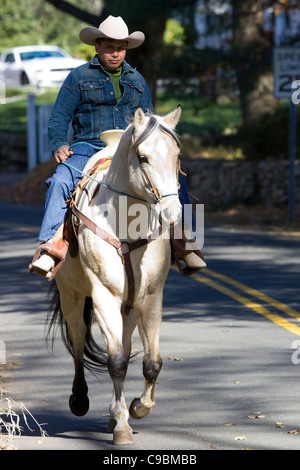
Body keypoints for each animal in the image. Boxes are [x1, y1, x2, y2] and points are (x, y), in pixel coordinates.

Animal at [48, 105, 183, 444]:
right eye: (143, 158)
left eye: (177, 156)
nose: (173, 214)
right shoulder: (103, 297)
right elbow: (117, 362)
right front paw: (122, 427)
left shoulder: (150, 297)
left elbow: (151, 362)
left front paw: (136, 408)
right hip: (72, 297)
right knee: (79, 342)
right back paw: (81, 399)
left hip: (128, 308)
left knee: (124, 344)